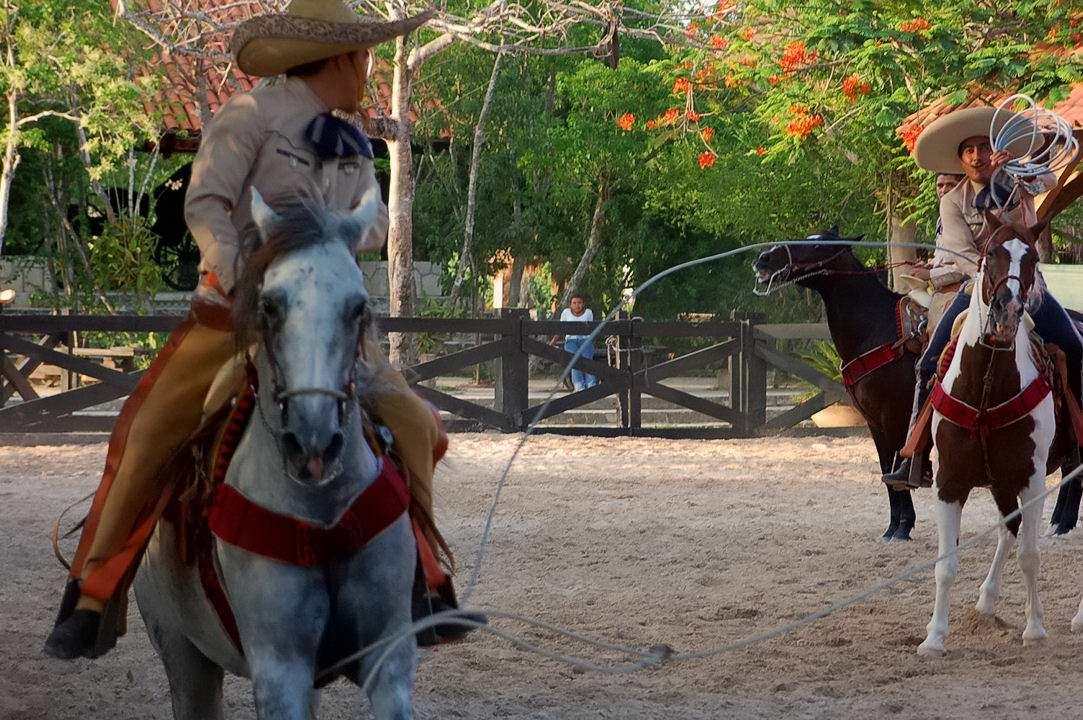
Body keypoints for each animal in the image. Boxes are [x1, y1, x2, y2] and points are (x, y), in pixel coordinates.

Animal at [137, 188, 415, 714]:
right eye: (269, 306)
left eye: (357, 308)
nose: (313, 443)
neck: (322, 518)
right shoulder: (280, 669)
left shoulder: (389, 658)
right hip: (185, 658)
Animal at [753, 228, 922, 539]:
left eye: (819, 246)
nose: (765, 257)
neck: (880, 331)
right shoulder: (874, 423)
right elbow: (886, 470)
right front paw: (893, 527)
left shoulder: (893, 417)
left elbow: (895, 468)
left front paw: (904, 525)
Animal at [914, 214, 1074, 658]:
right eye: (991, 254)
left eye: (1032, 257)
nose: (1008, 308)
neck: (985, 386)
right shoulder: (950, 482)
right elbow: (946, 564)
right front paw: (935, 636)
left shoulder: (1031, 480)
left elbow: (1030, 555)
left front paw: (1034, 628)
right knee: (1008, 528)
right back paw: (986, 601)